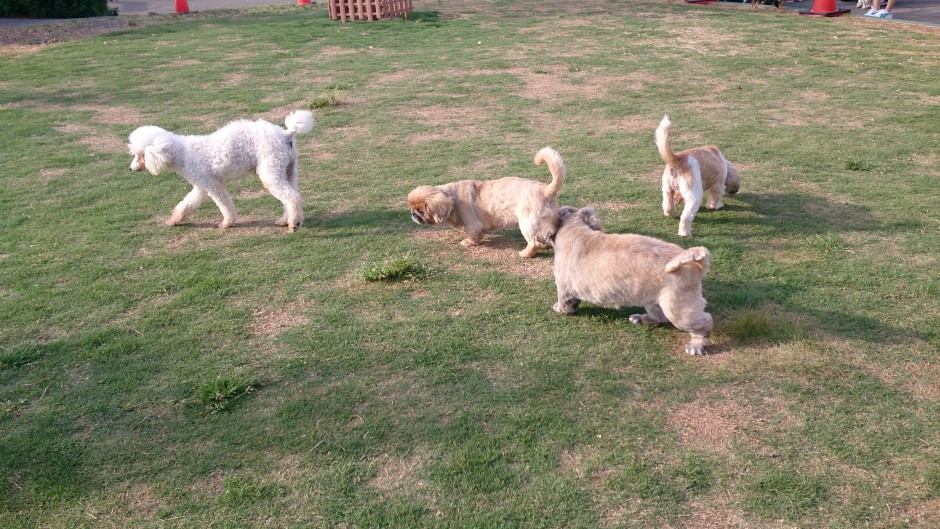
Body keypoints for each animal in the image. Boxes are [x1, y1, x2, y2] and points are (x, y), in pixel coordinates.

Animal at [406, 146, 564, 258]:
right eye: (413, 210)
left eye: (422, 211)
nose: (413, 214)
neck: (452, 199)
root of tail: (545, 190)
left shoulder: (472, 225)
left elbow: (473, 236)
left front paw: (468, 242)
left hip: (526, 224)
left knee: (533, 242)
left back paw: (525, 253)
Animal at [552, 206, 712, 354]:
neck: (574, 229)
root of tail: (696, 265)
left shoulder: (564, 286)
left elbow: (564, 301)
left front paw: (559, 308)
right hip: (654, 301)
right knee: (660, 317)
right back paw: (641, 319)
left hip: (678, 310)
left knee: (704, 323)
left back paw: (696, 344)